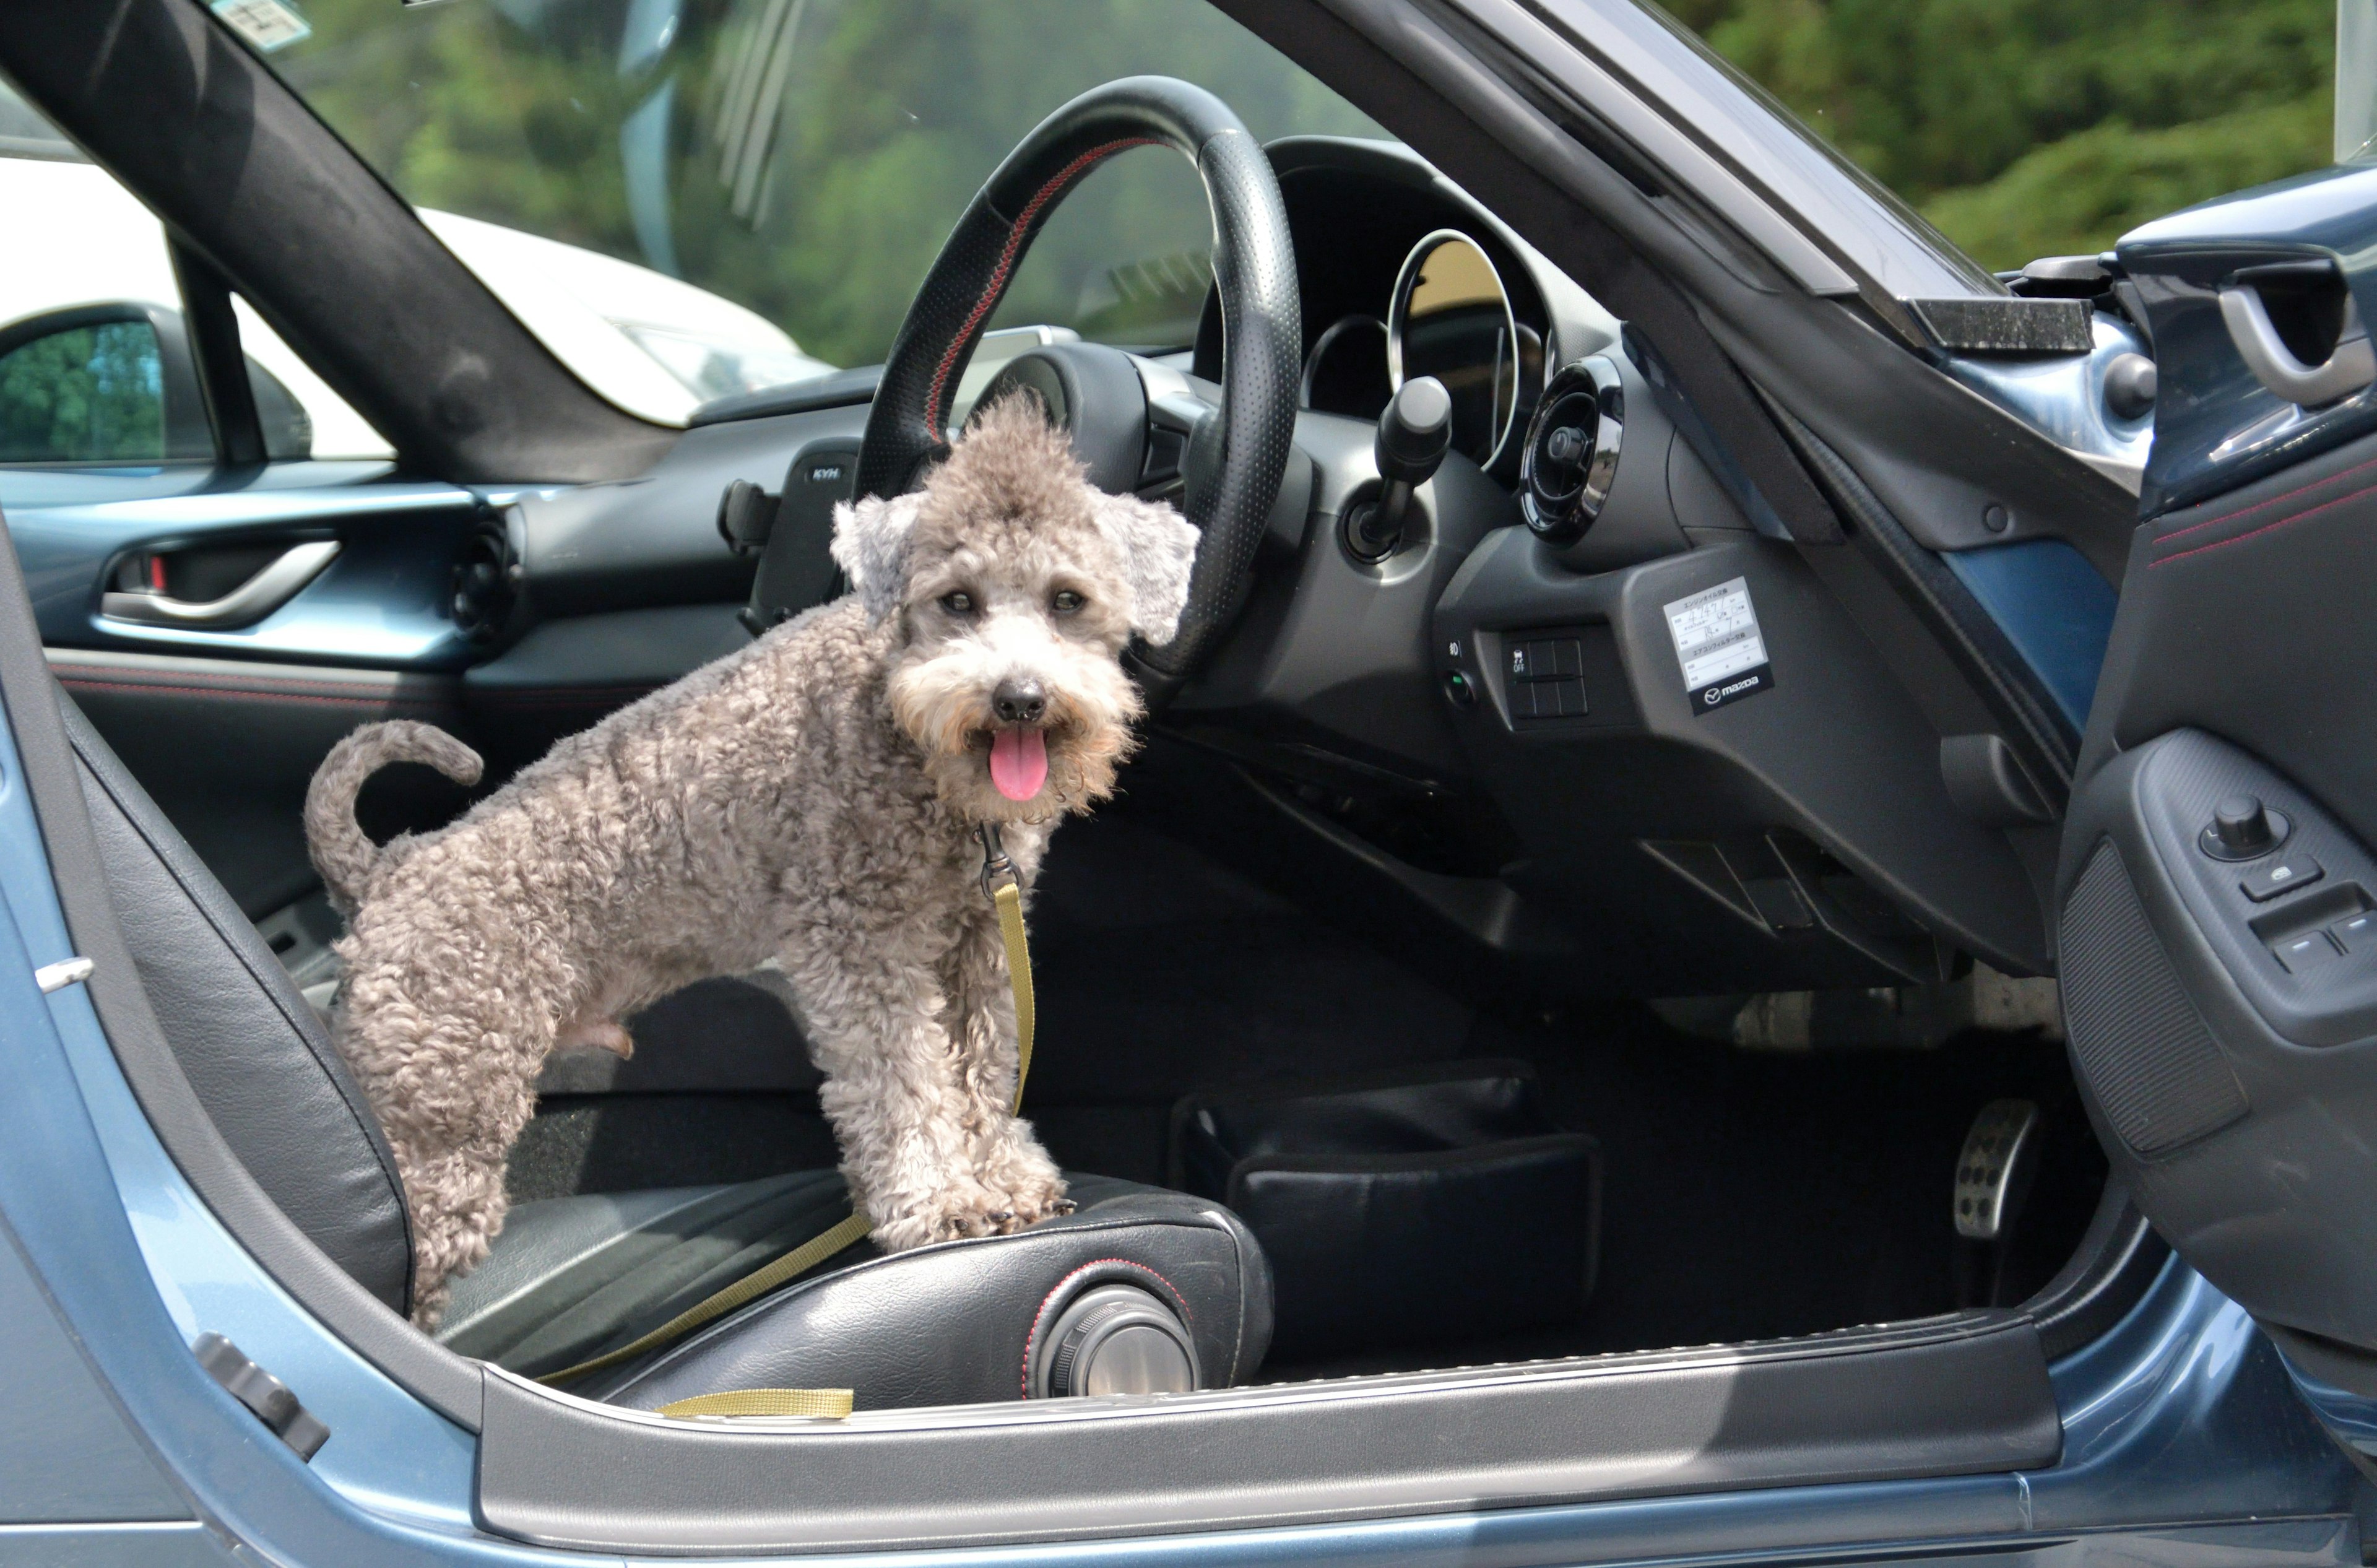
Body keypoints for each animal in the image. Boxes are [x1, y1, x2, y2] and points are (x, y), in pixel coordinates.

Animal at [311, 399, 1207, 1330]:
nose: (1019, 699)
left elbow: (982, 1068)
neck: (899, 726)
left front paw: (1005, 1176)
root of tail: (387, 871)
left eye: (1068, 599)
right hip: (444, 1116)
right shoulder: (859, 941)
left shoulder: (979, 942)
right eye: (957, 600)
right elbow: (901, 1082)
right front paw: (939, 1199)